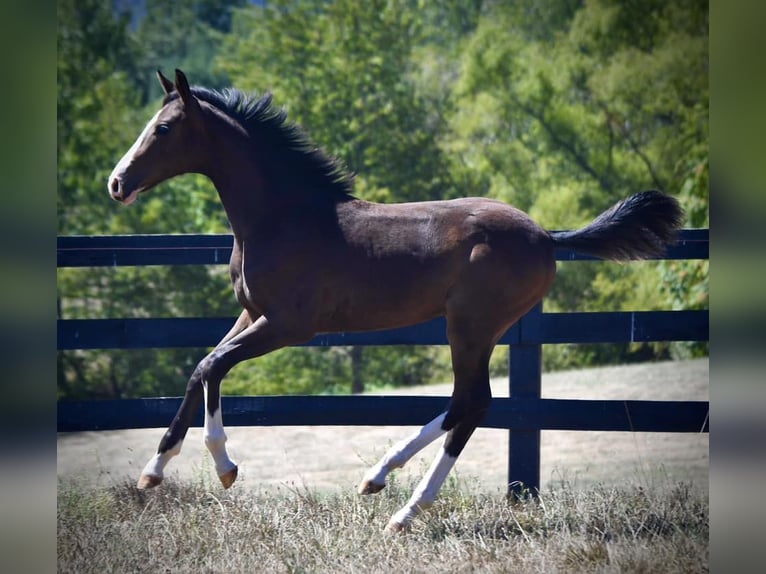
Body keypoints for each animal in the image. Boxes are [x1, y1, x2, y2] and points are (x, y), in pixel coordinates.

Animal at [106, 70, 684, 532]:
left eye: (163, 129)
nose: (117, 183)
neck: (284, 218)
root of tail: (546, 236)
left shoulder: (289, 324)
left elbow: (213, 365)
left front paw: (224, 467)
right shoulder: (252, 313)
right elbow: (202, 368)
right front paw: (153, 472)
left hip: (470, 325)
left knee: (472, 402)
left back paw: (404, 511)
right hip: (474, 329)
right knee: (463, 403)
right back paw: (379, 478)